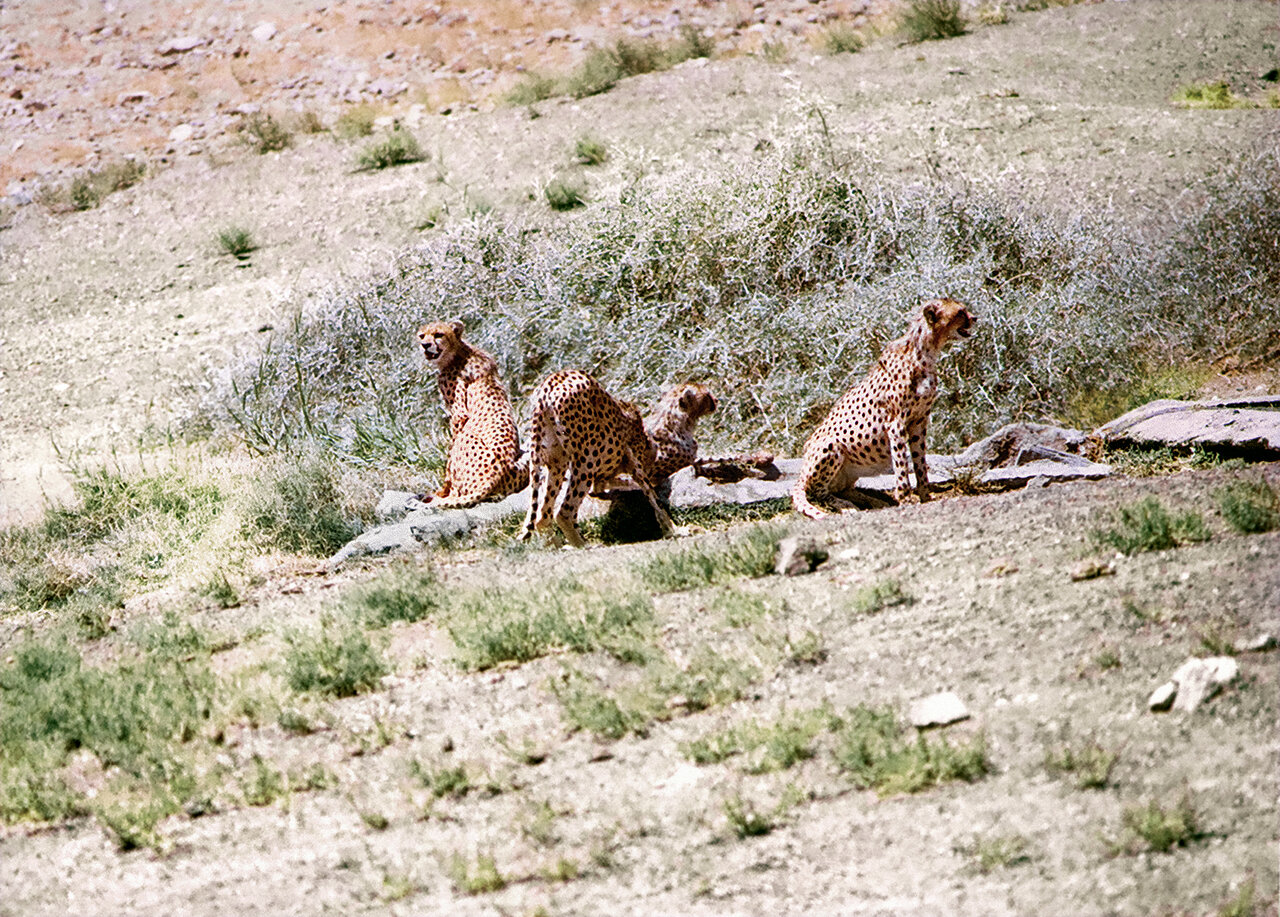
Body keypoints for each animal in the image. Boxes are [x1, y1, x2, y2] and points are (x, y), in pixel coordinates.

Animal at [414, 320, 524, 509]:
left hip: (466, 437)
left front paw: (441, 491)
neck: (458, 352)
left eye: (438, 335)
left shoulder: (458, 414)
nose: (425, 345)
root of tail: (494, 478)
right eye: (422, 336)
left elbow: (449, 459)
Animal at [519, 368, 680, 548]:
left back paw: (558, 544)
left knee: (542, 516)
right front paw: (675, 530)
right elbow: (653, 497)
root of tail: (551, 382)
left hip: (556, 461)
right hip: (586, 461)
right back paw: (583, 545)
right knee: (563, 512)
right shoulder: (633, 462)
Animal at [783, 297, 972, 519]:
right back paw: (847, 506)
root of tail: (801, 471)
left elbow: (919, 464)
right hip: (830, 445)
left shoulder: (919, 422)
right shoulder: (896, 423)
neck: (926, 351)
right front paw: (906, 500)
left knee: (843, 489)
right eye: (960, 312)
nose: (975, 318)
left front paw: (925, 498)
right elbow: (901, 467)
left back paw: (874, 501)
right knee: (819, 492)